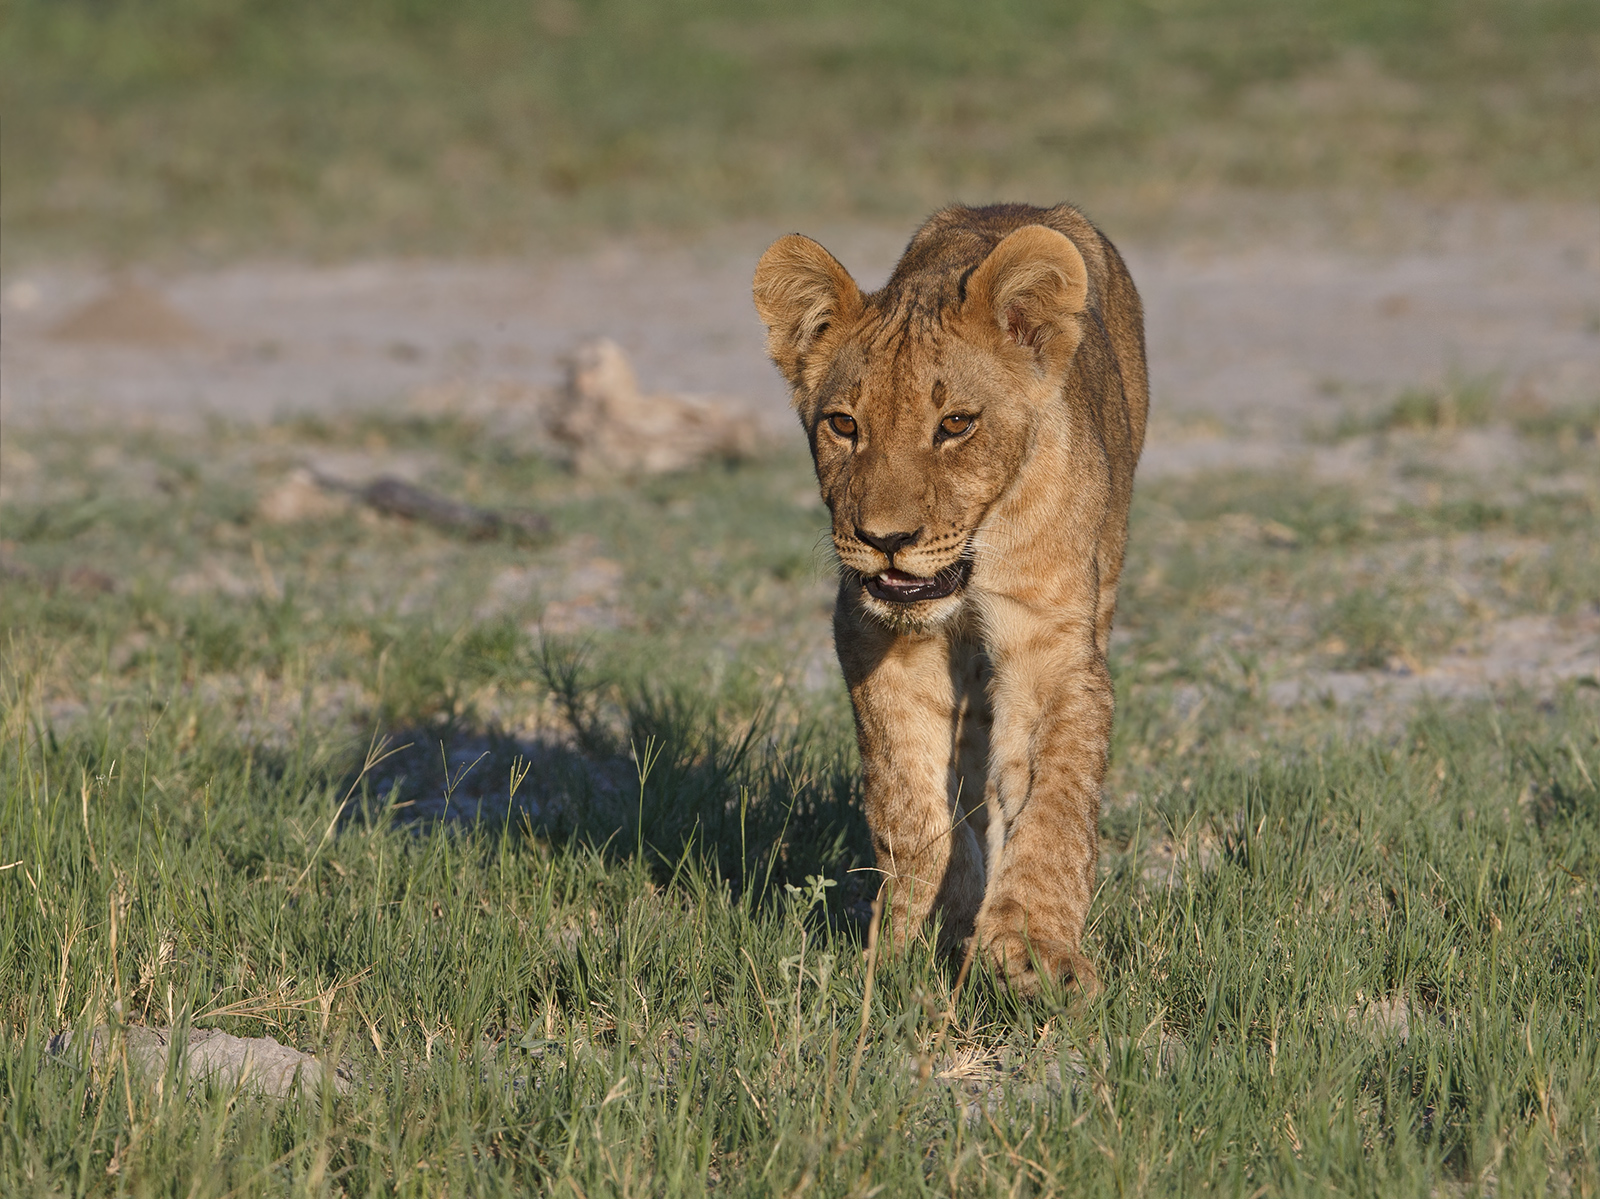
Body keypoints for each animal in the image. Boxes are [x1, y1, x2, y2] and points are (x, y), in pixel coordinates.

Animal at [753, 203, 1147, 994]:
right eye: (844, 424)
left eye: (956, 424)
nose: (886, 539)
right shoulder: (876, 636)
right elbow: (910, 797)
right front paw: (916, 938)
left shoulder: (1050, 640)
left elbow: (1055, 796)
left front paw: (1034, 950)